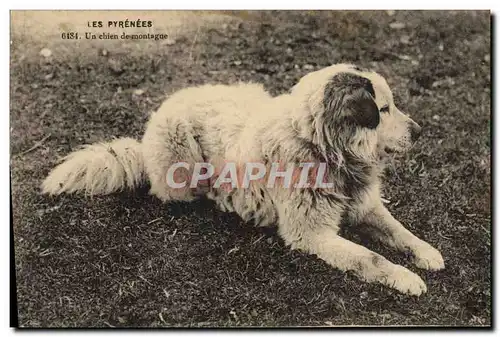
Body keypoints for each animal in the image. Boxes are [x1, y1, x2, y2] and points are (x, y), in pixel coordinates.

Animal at [41, 63, 444, 294]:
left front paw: (427, 253)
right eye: (383, 109)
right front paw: (406, 278)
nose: (420, 131)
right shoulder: (312, 234)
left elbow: (400, 231)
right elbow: (370, 258)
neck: (324, 148)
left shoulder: (365, 207)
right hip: (182, 171)